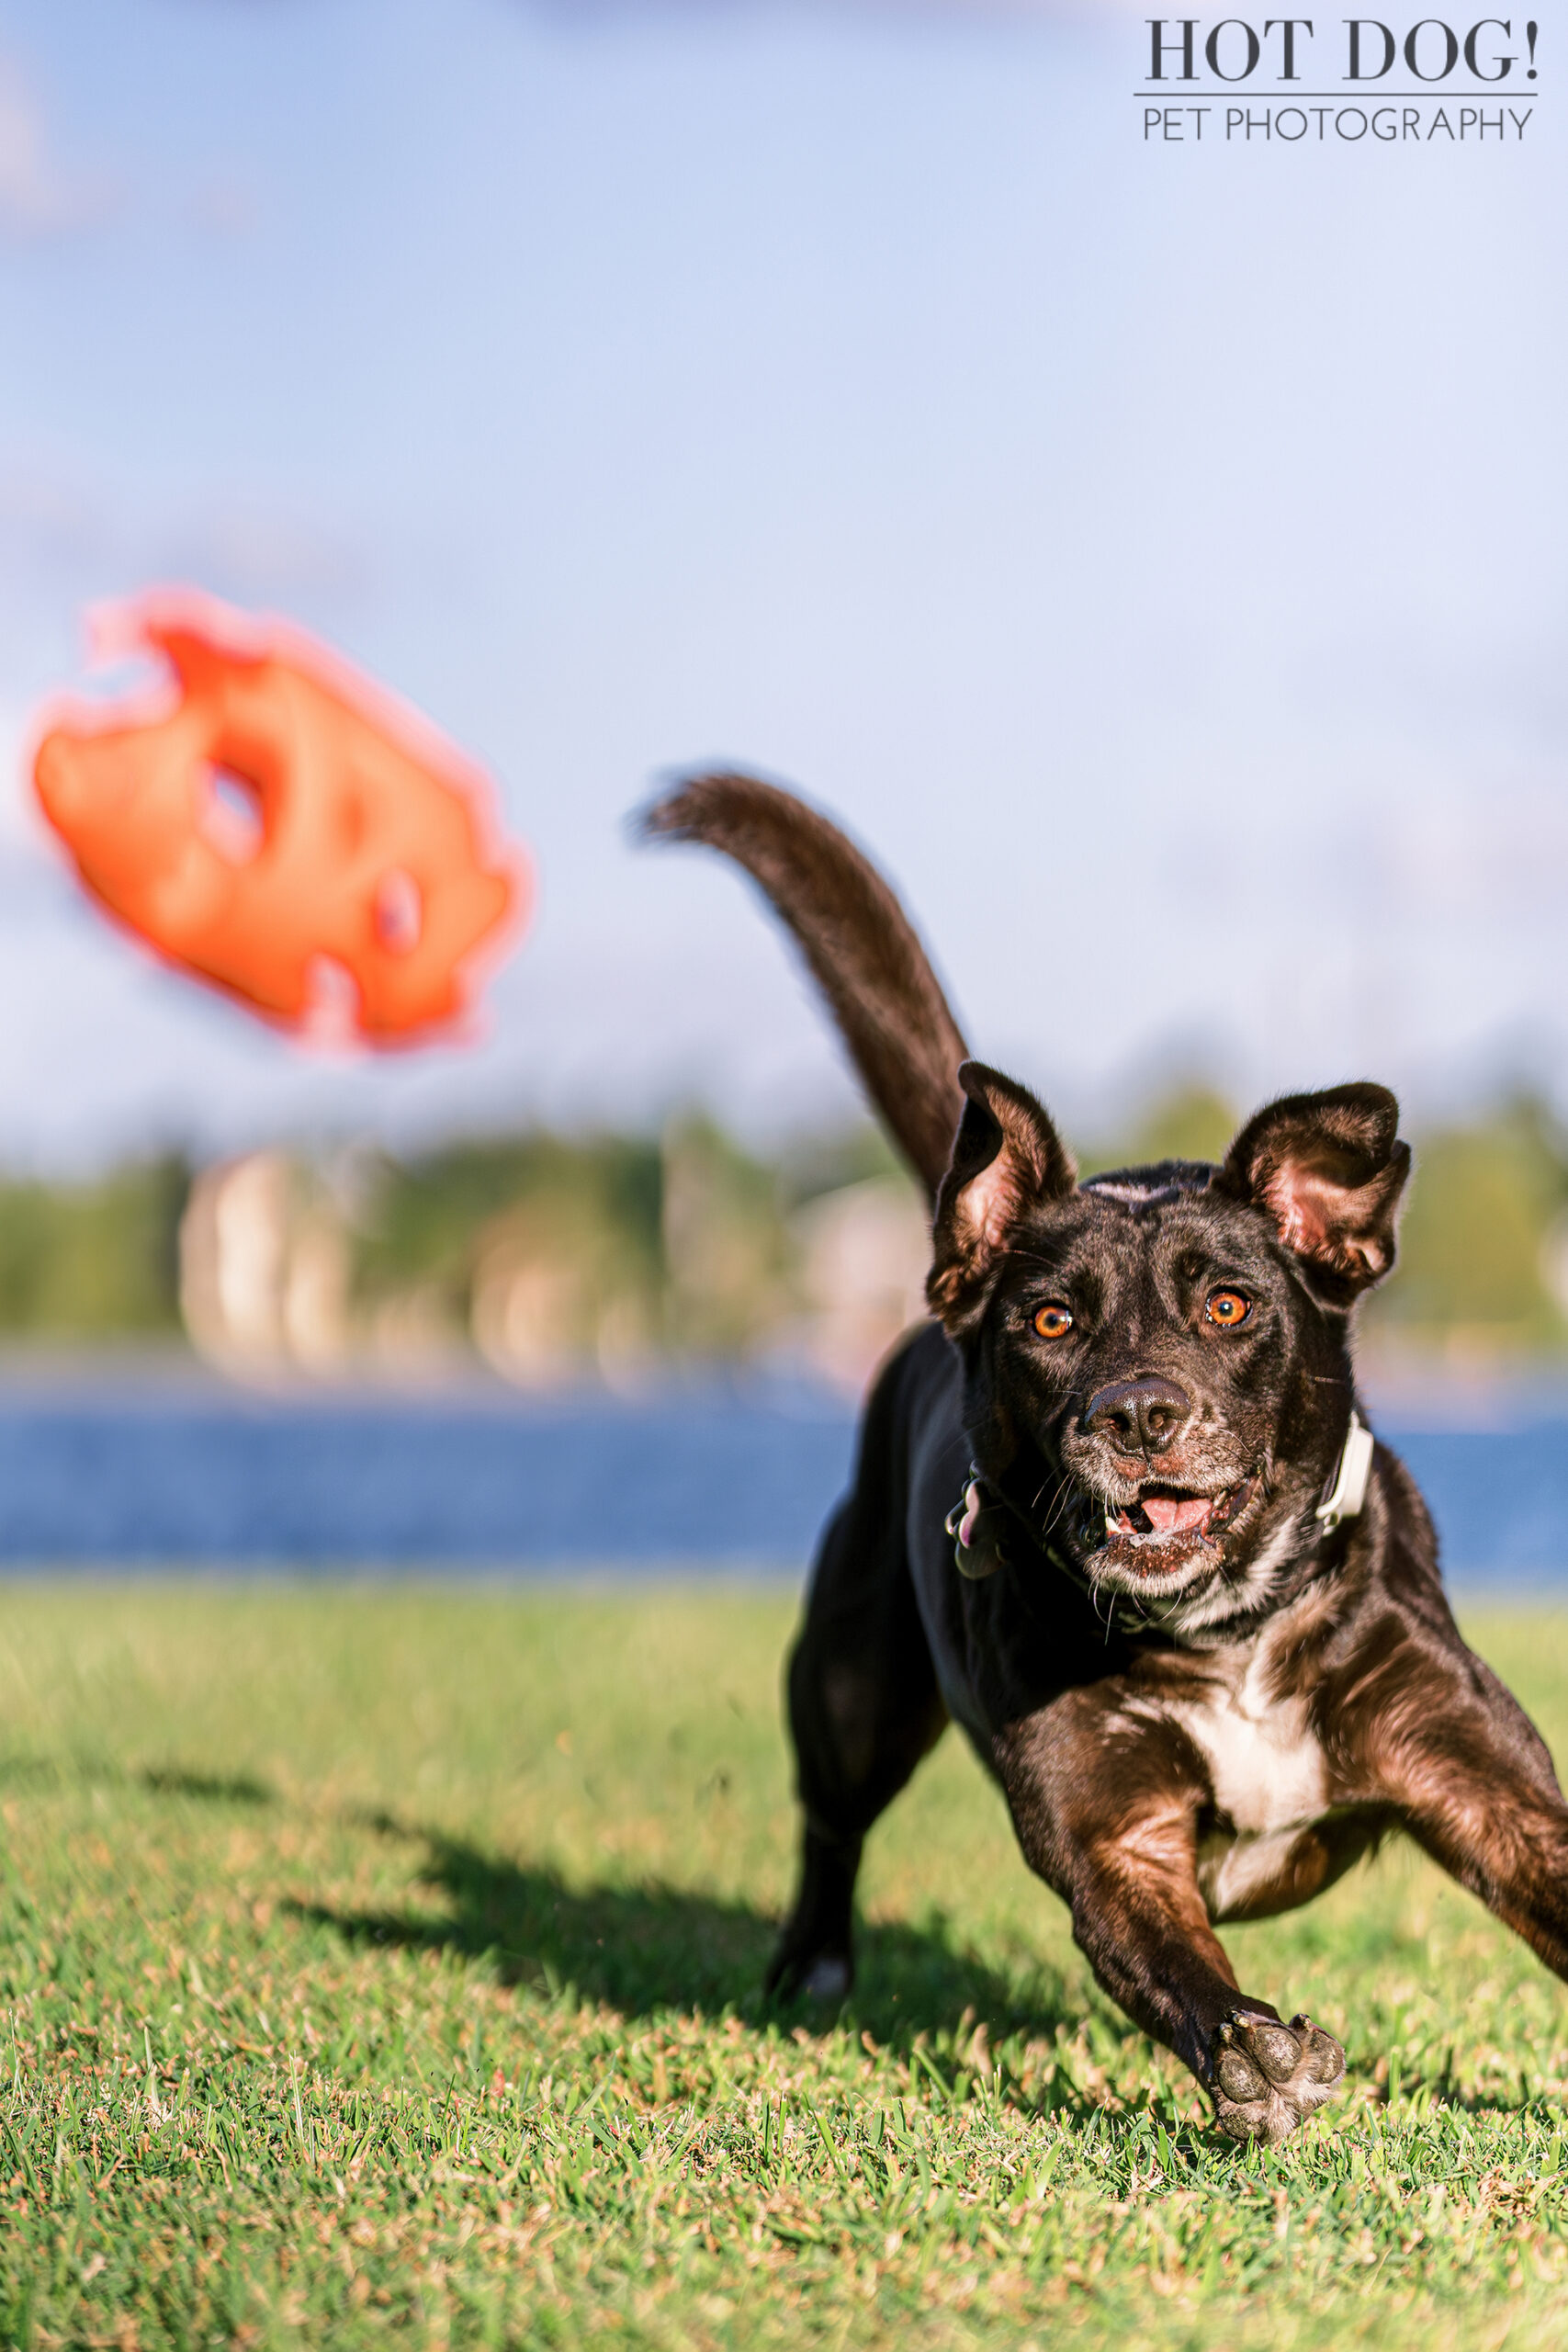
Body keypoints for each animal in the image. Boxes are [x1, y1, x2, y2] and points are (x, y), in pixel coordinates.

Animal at [639, 775, 1568, 2154]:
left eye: (1230, 1306)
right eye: (1050, 1321)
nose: (1136, 1413)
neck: (1225, 1641)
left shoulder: (1478, 1783)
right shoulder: (1111, 1838)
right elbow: (1174, 1964)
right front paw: (1250, 2053)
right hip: (853, 1683)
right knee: (830, 1817)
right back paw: (809, 1968)